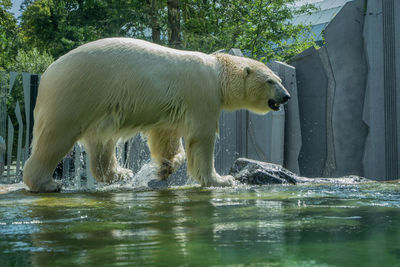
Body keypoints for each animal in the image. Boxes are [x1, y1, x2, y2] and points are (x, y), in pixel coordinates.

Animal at [21, 37, 290, 193]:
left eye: (279, 79)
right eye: (270, 81)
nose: (286, 96)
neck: (218, 71)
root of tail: (48, 74)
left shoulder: (173, 107)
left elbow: (165, 136)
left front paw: (164, 168)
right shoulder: (201, 92)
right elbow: (201, 138)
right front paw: (221, 180)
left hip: (98, 103)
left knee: (101, 143)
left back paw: (120, 173)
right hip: (77, 93)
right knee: (55, 137)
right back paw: (47, 184)